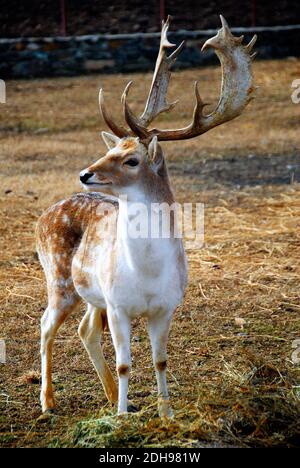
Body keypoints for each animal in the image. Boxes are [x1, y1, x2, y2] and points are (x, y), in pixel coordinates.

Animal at [35, 15, 255, 416]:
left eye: (131, 159)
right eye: (112, 150)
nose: (85, 173)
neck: (147, 274)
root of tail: (43, 216)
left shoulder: (165, 307)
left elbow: (160, 361)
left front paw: (165, 413)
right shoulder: (119, 305)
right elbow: (126, 363)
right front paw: (121, 418)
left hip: (93, 296)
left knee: (85, 329)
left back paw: (110, 396)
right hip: (59, 278)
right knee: (46, 325)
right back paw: (49, 401)